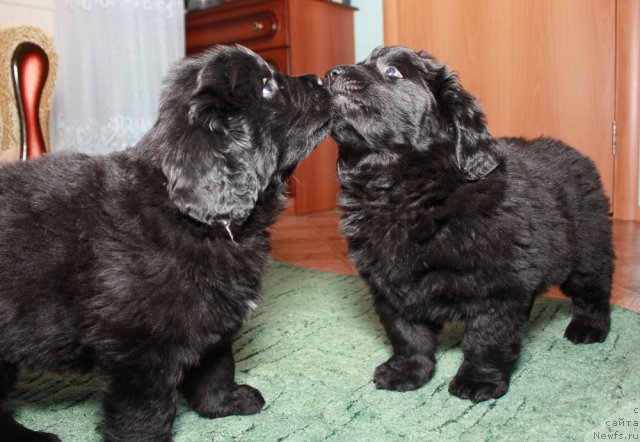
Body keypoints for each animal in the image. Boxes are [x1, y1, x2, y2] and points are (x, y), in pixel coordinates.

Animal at [0, 45, 330, 442]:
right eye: (266, 87)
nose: (321, 79)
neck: (192, 218)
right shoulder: (137, 348)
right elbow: (145, 414)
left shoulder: (211, 313)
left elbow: (216, 366)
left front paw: (225, 403)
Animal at [328, 46, 612, 402]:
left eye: (393, 72)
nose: (330, 74)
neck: (403, 192)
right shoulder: (391, 286)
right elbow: (407, 333)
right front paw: (407, 371)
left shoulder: (496, 287)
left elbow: (486, 337)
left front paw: (479, 380)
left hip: (589, 249)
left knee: (594, 290)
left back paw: (589, 328)